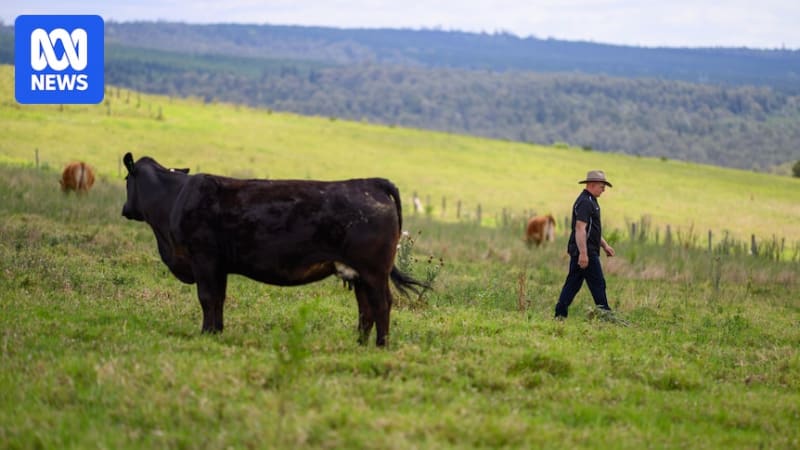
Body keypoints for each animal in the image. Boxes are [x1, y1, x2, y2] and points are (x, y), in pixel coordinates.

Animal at [121, 153, 426, 347]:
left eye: (125, 180)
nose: (125, 209)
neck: (175, 198)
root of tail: (371, 182)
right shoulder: (219, 266)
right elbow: (218, 299)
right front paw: (217, 331)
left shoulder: (204, 259)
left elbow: (207, 298)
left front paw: (206, 333)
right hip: (359, 274)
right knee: (366, 309)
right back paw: (360, 344)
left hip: (374, 271)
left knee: (382, 304)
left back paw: (381, 345)